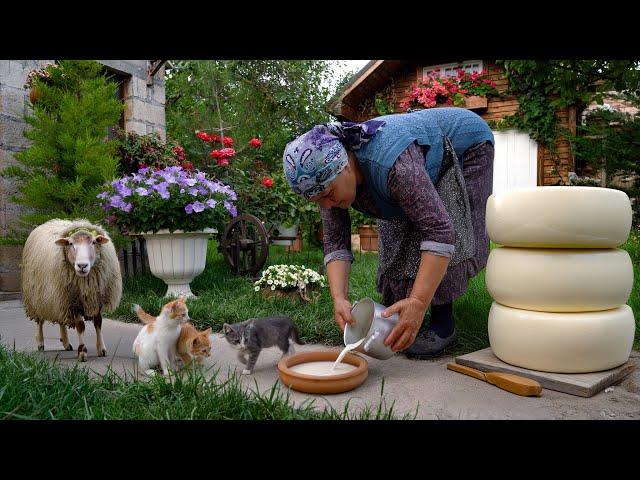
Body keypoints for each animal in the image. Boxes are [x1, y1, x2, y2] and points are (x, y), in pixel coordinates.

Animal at [21, 218, 123, 360]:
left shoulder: (96, 298)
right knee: (39, 320)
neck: (85, 283)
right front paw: (82, 352)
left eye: (94, 242)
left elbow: (98, 322)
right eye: (70, 243)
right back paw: (40, 343)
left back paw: (66, 343)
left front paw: (101, 349)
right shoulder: (73, 301)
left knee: (61, 319)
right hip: (37, 296)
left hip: (58, 297)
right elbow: (80, 326)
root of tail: (47, 223)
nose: (82, 265)